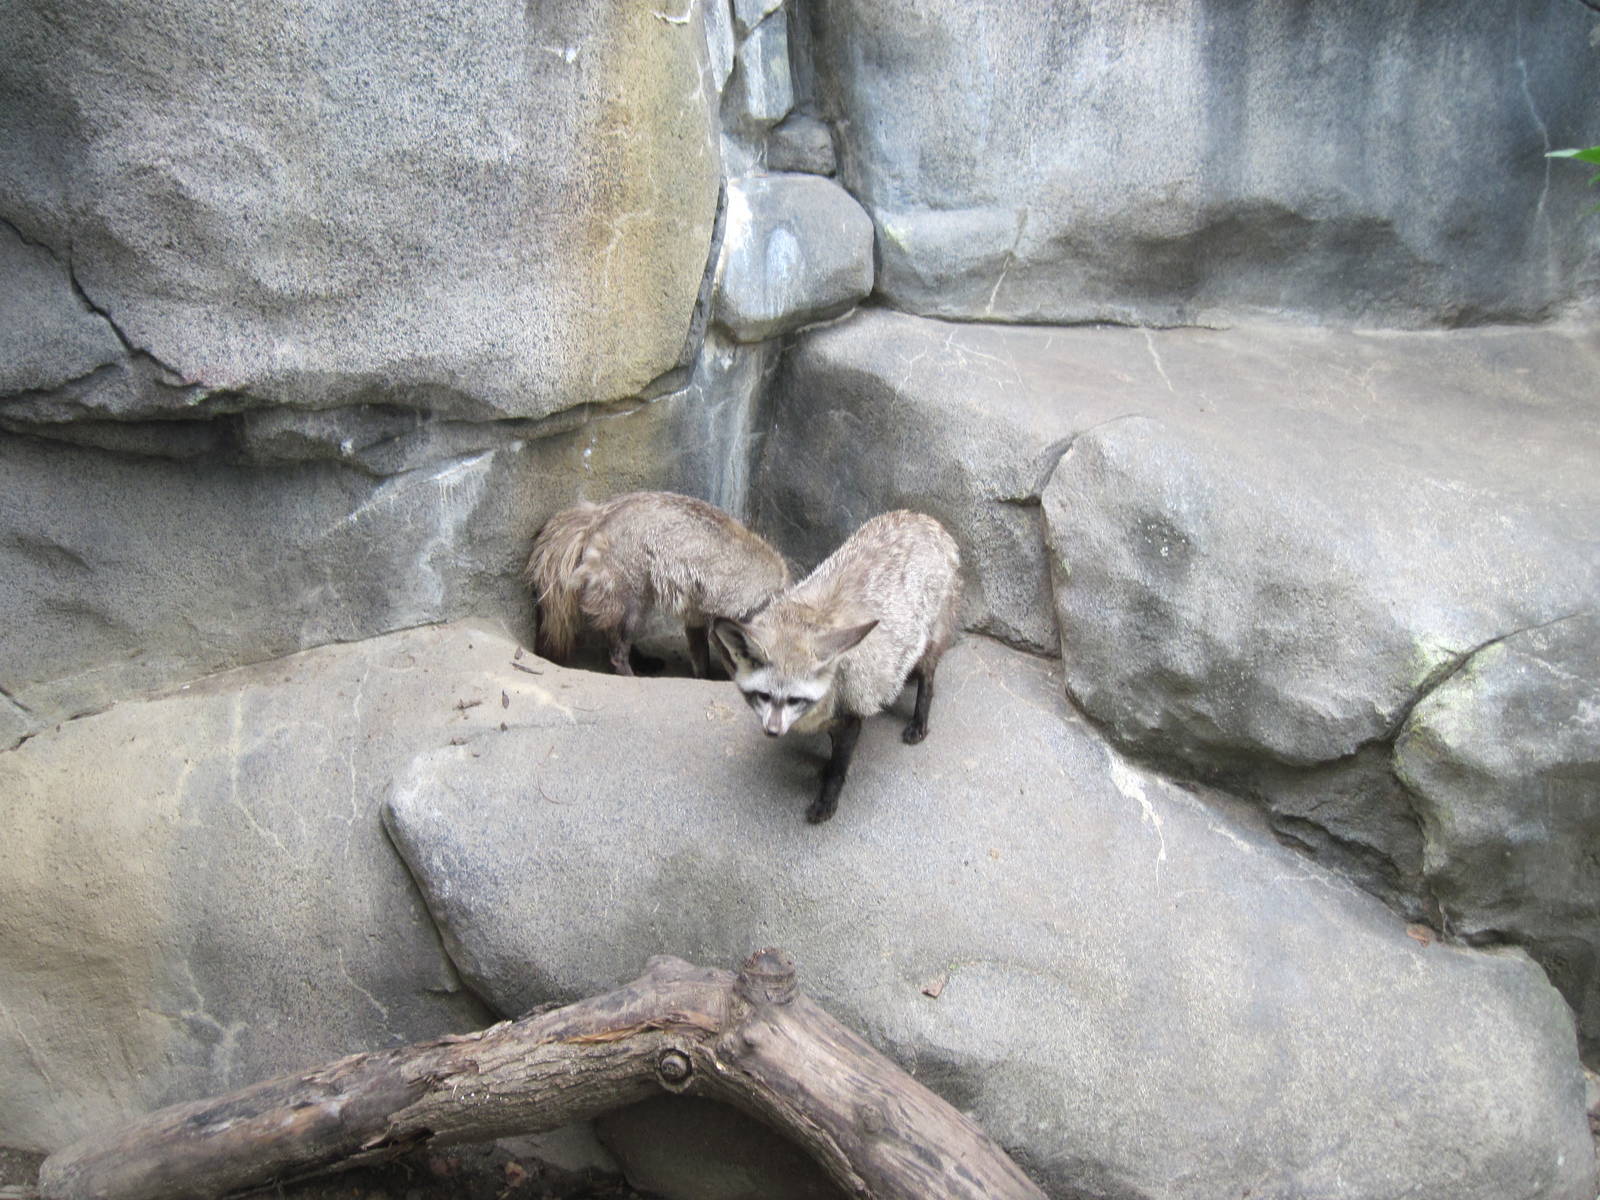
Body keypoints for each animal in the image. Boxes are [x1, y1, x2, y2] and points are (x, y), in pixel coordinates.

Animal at [522, 491, 790, 678]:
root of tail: (596, 516)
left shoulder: (697, 611)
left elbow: (699, 648)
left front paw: (703, 673)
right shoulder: (726, 612)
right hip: (626, 581)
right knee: (619, 639)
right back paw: (628, 668)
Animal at [711, 511, 961, 824]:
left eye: (795, 699)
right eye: (763, 696)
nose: (773, 731)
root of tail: (923, 517)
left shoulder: (852, 710)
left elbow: (840, 766)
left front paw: (828, 797)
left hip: (930, 640)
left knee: (928, 680)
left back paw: (919, 721)